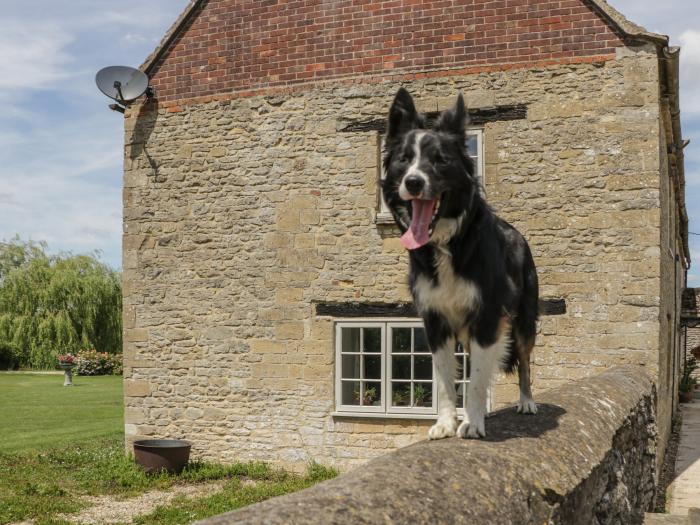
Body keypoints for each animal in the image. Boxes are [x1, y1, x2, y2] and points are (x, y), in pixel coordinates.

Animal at [382, 89, 536, 438]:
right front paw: (446, 423)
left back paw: (526, 401)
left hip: (524, 320)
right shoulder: (435, 319)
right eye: (404, 160)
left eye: (441, 160)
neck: (448, 242)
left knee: (523, 361)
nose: (413, 182)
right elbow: (445, 380)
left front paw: (474, 423)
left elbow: (478, 379)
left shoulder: (488, 315)